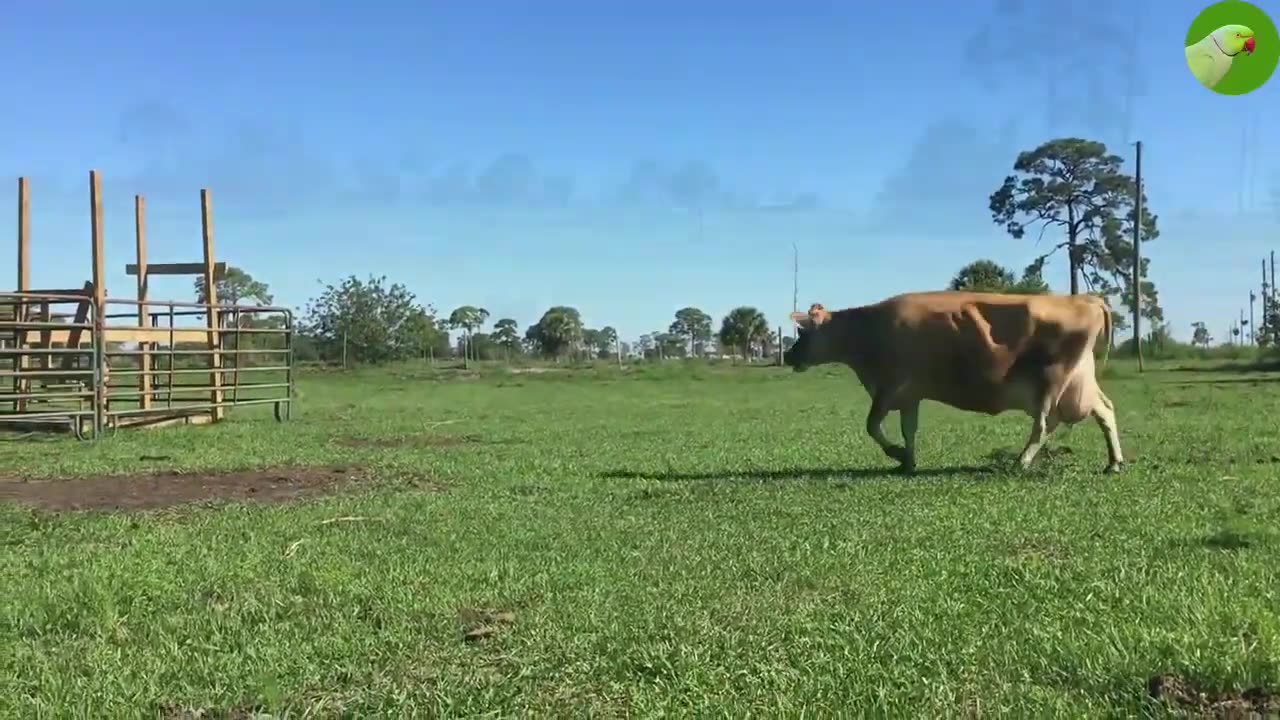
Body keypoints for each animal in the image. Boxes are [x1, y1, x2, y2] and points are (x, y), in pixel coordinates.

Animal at [783, 288, 1126, 474]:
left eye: (803, 331)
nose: (788, 354)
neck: (868, 331)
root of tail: (1085, 299)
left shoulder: (890, 387)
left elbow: (871, 426)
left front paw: (897, 454)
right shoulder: (910, 394)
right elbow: (908, 429)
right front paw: (907, 460)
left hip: (1051, 382)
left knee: (1044, 424)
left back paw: (1021, 461)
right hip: (1080, 381)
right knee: (1106, 410)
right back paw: (1114, 463)